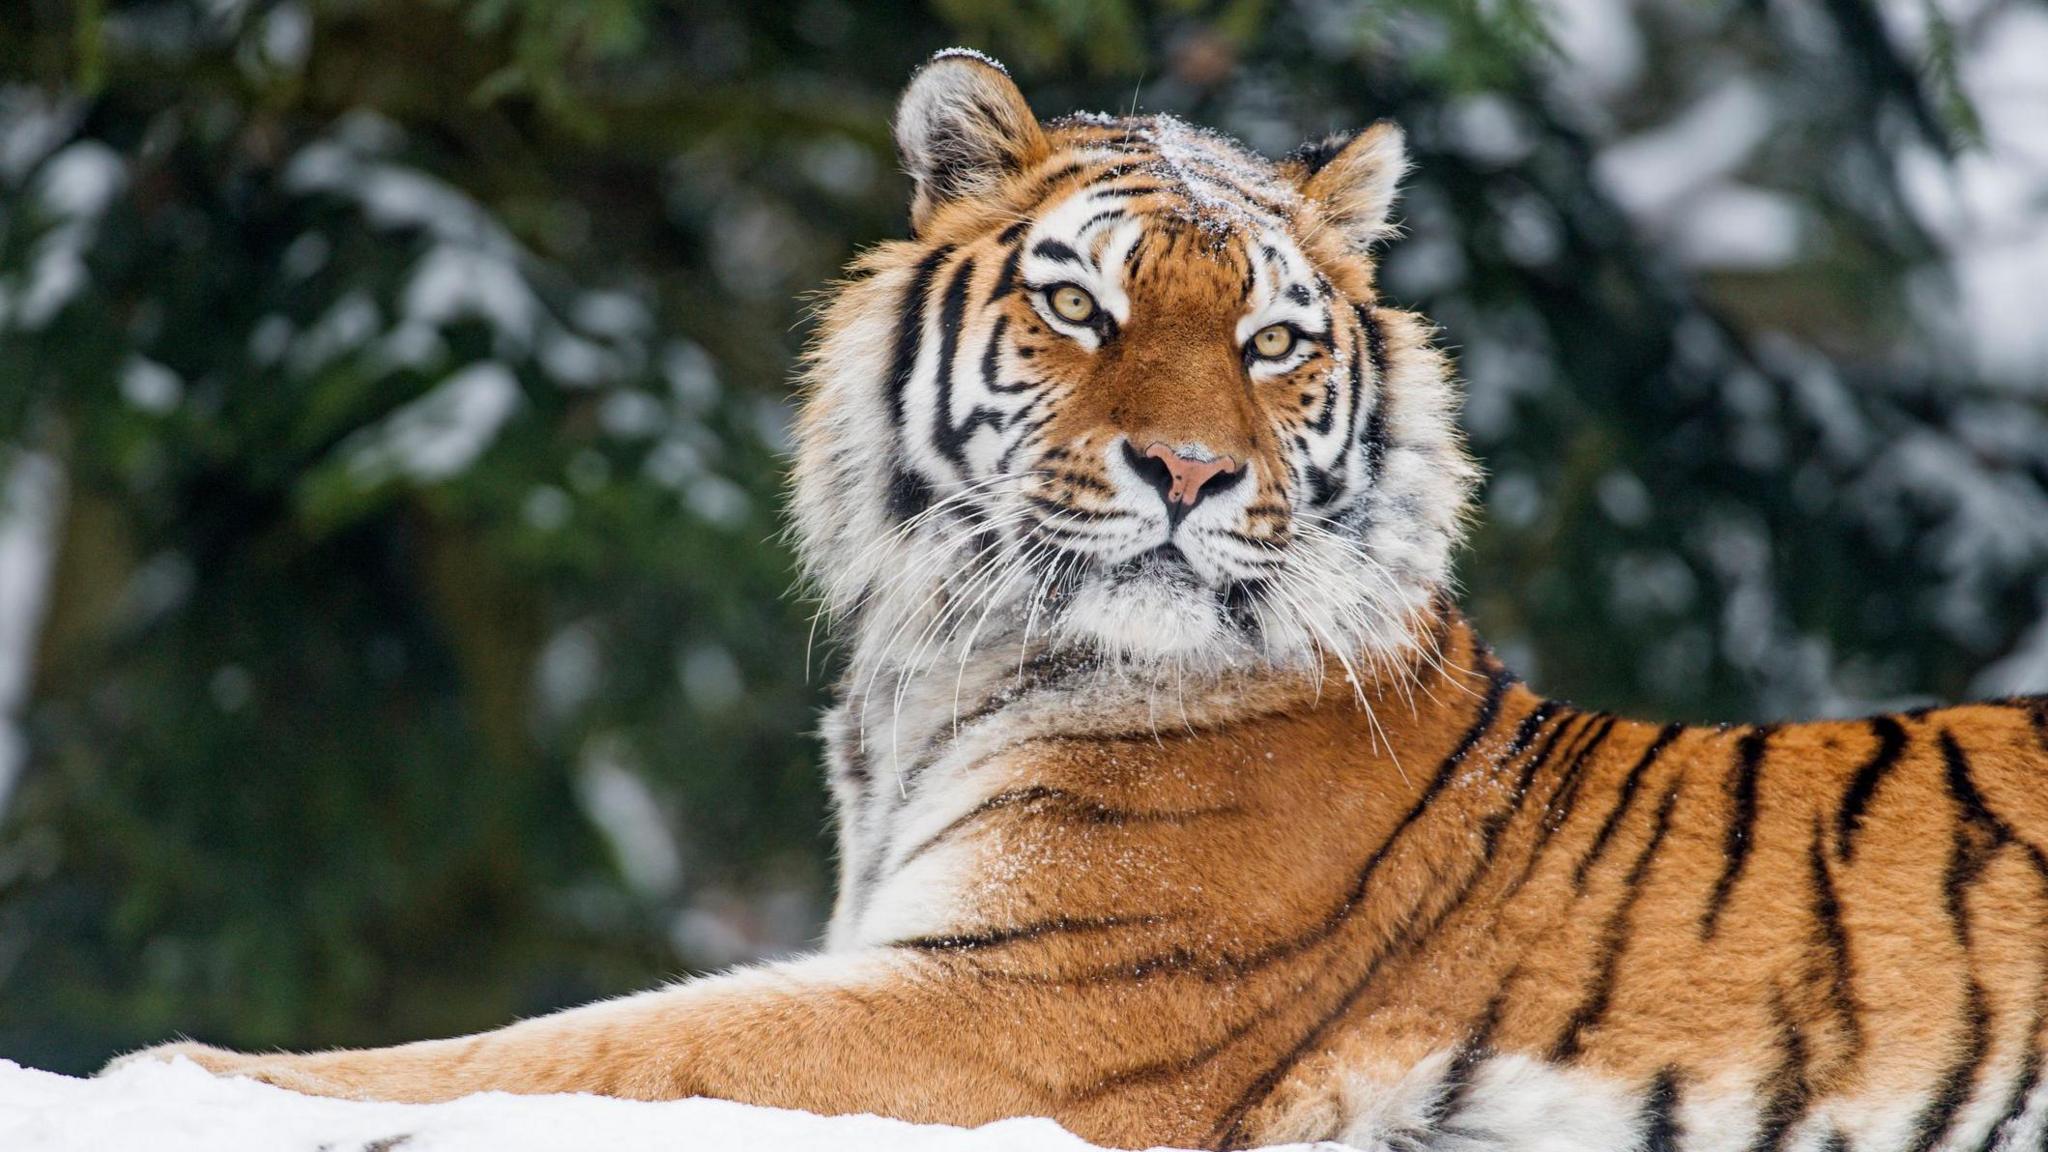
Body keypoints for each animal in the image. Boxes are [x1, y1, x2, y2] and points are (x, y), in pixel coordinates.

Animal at [118, 49, 2048, 1152]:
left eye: (1268, 342)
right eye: (1081, 307)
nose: (1188, 474)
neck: (945, 665)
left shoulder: (1019, 1000)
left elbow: (593, 1048)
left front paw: (180, 1076)